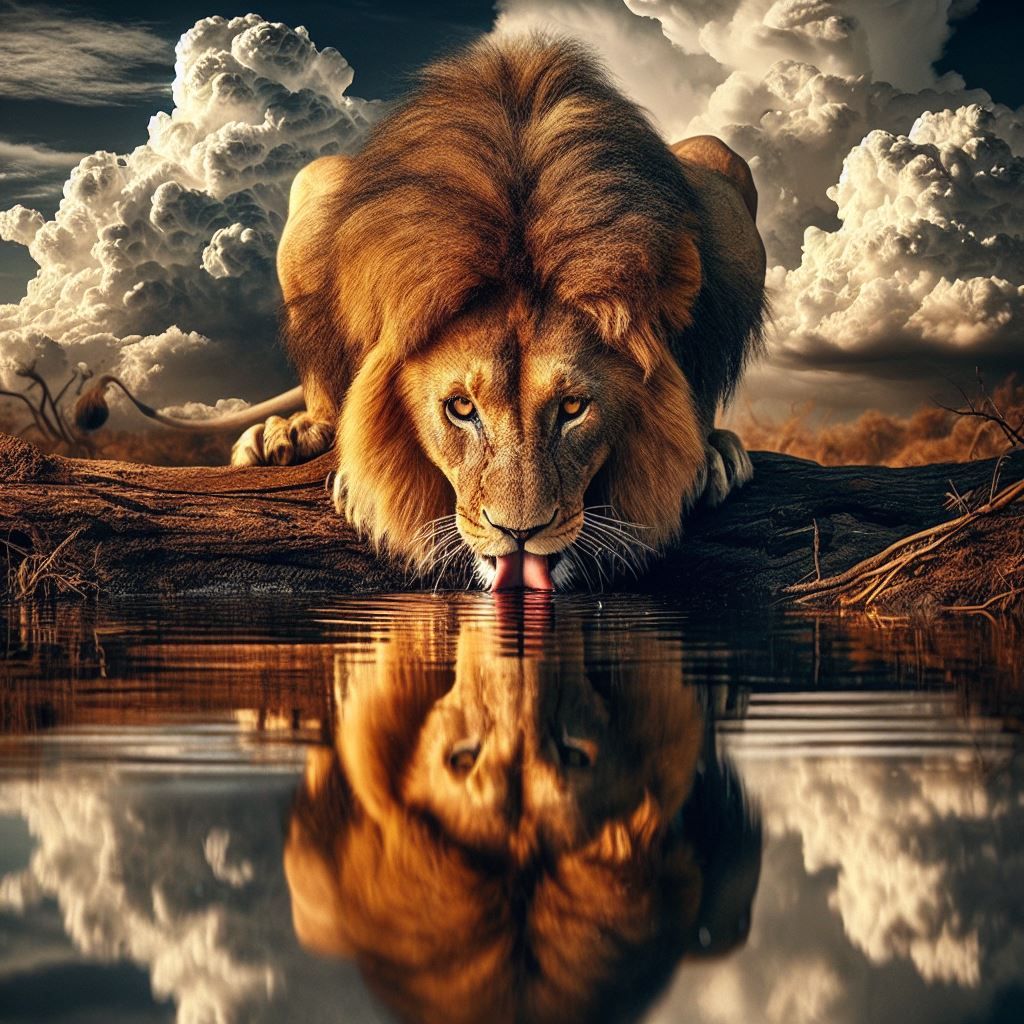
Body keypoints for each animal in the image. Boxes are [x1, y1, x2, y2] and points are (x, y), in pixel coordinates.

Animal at [78, 36, 766, 590]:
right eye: (460, 409)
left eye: (574, 407)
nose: (520, 534)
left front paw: (701, 453)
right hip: (318, 181)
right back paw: (291, 435)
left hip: (719, 165)